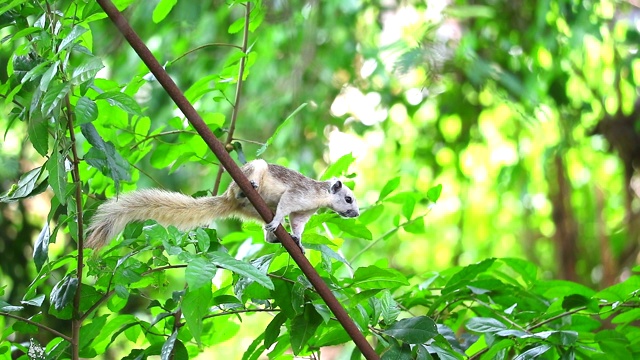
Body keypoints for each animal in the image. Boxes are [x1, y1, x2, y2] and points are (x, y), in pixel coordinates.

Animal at [85, 159, 360, 252]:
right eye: (348, 198)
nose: (356, 214)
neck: (319, 195)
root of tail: (227, 199)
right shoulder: (298, 194)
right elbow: (285, 206)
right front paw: (278, 221)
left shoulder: (304, 212)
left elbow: (298, 224)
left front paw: (298, 241)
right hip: (253, 173)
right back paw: (248, 188)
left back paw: (273, 236)